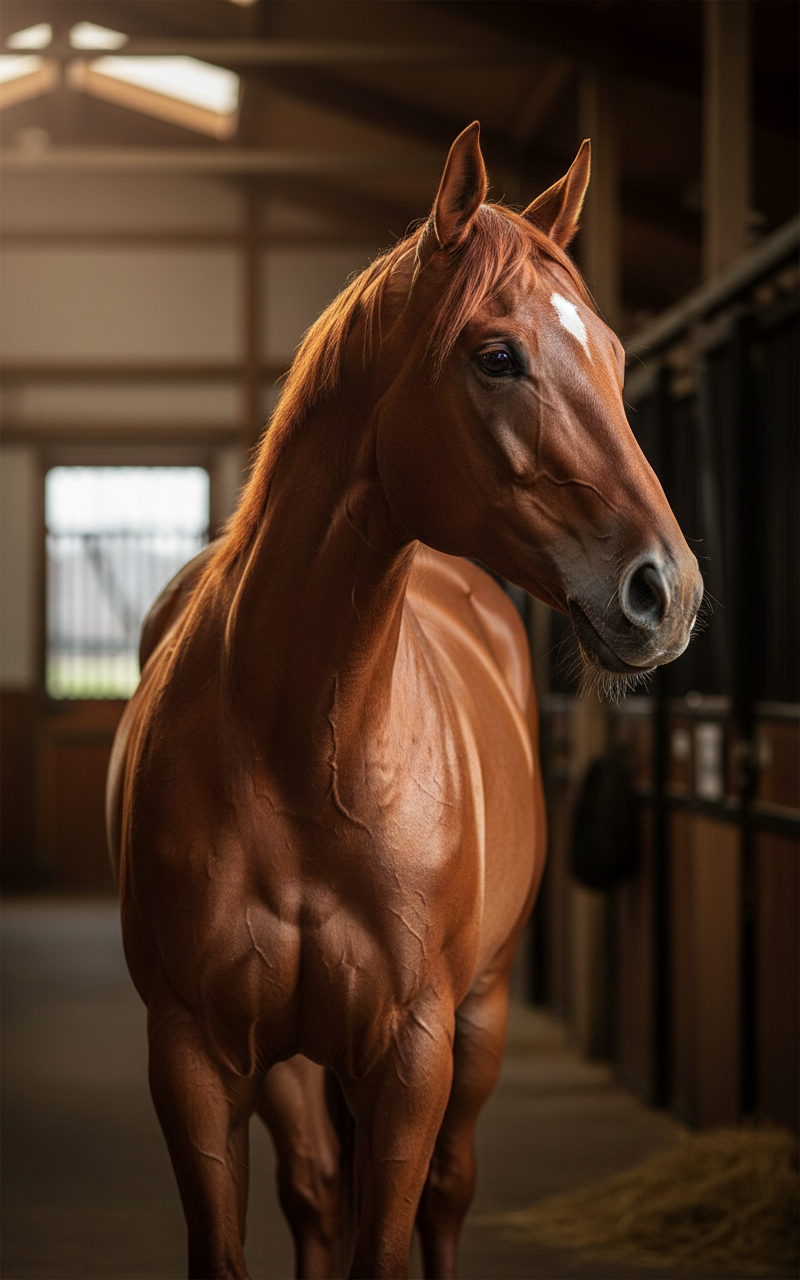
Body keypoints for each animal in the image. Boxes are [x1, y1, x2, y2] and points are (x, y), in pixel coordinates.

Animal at [107, 122, 703, 1280]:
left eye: (617, 360)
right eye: (496, 355)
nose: (667, 591)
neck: (302, 746)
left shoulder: (412, 1052)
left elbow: (390, 1235)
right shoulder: (194, 1054)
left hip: (479, 1022)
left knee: (445, 1195)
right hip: (292, 1064)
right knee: (313, 1195)